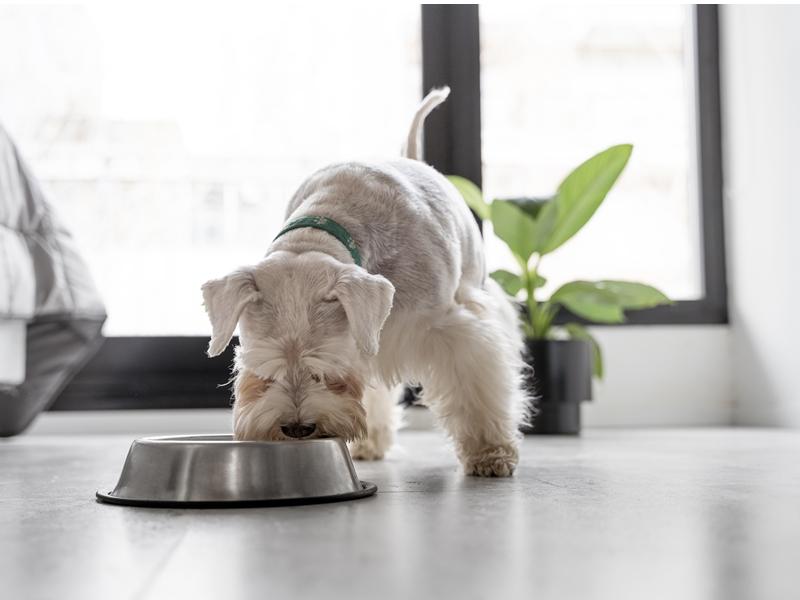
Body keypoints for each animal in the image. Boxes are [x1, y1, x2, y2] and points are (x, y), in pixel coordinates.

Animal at [200, 86, 528, 476]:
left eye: (327, 368)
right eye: (263, 370)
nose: (297, 428)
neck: (324, 227)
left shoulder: (450, 329)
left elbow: (474, 386)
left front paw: (490, 453)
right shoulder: (366, 340)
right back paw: (370, 443)